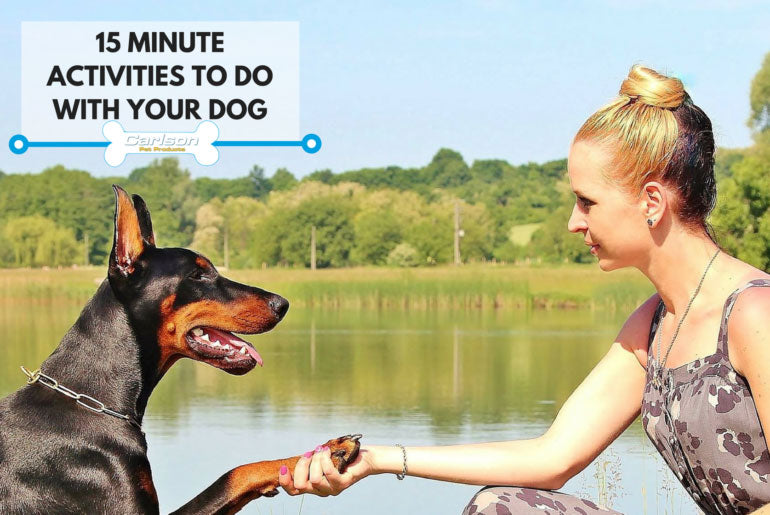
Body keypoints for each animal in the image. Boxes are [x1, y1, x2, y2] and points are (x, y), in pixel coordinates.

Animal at [0, 186, 360, 515]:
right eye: (198, 274)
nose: (282, 304)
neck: (92, 402)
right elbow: (233, 474)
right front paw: (328, 453)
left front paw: (328, 450)